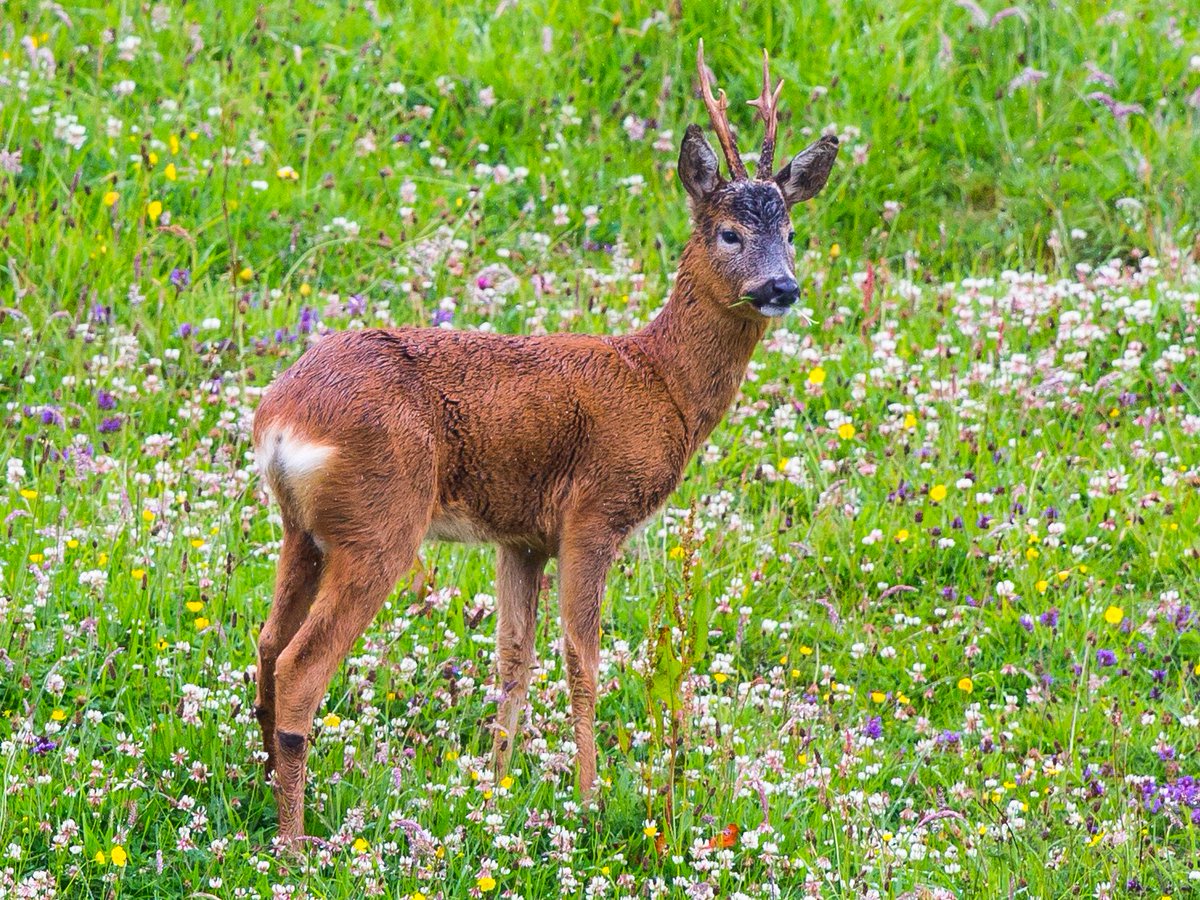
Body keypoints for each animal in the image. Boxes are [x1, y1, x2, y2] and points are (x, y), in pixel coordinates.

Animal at [251, 40, 838, 842]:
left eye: (792, 231)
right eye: (729, 232)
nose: (781, 287)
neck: (661, 381)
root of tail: (282, 419)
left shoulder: (521, 534)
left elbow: (513, 658)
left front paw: (495, 789)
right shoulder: (596, 512)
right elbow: (580, 658)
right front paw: (590, 799)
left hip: (302, 530)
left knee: (266, 645)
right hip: (381, 522)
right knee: (299, 667)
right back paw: (295, 842)